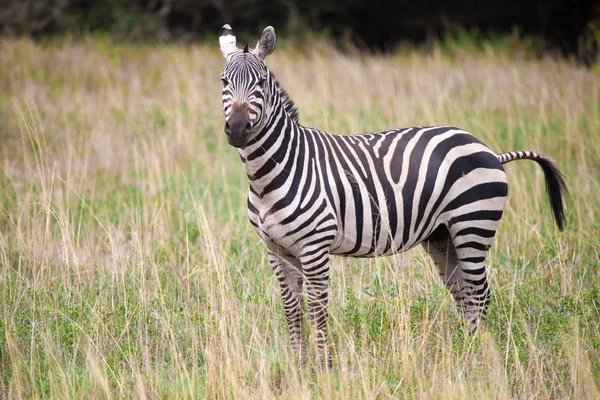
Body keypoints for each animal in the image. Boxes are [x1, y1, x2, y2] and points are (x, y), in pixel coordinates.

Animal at [217, 25, 568, 368]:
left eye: (261, 83)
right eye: (224, 82)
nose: (237, 129)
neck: (270, 176)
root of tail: (491, 151)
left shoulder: (314, 247)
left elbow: (318, 309)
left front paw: (324, 368)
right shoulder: (276, 249)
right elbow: (291, 308)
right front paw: (298, 367)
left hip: (473, 225)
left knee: (480, 294)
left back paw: (479, 360)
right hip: (443, 235)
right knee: (464, 294)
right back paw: (467, 355)